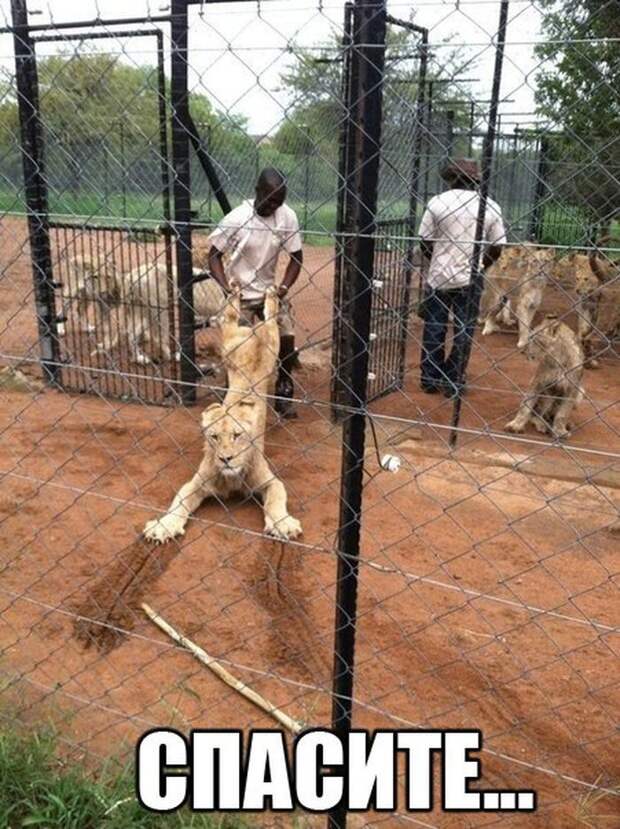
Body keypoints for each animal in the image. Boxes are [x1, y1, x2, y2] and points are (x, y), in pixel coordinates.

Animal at [143, 284, 302, 544]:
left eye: (237, 436)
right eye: (214, 437)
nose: (226, 459)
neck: (232, 477)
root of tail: (253, 331)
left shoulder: (270, 481)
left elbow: (277, 499)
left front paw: (283, 524)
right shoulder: (196, 483)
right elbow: (178, 502)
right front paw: (164, 526)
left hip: (272, 342)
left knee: (270, 319)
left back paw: (269, 297)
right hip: (229, 345)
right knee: (229, 318)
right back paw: (235, 293)